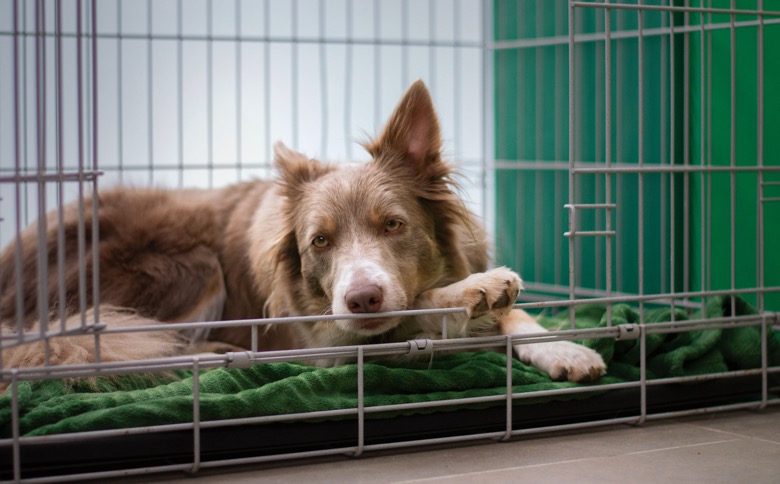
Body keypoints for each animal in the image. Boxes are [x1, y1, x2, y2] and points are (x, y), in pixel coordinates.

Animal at [0, 80, 604, 386]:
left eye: (394, 224)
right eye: (320, 241)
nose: (362, 297)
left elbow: (517, 316)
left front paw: (564, 346)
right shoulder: (326, 340)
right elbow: (414, 310)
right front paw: (473, 292)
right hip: (190, 264)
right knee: (120, 346)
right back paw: (216, 355)